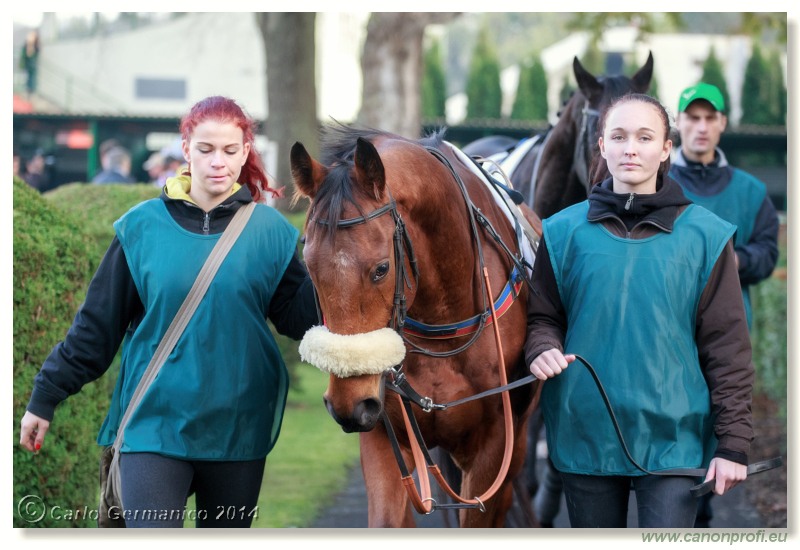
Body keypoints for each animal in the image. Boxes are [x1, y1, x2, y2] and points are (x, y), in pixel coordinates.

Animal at [290, 125, 540, 532]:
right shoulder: (381, 429)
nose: (346, 404)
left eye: (381, 268)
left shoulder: (496, 442)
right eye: (309, 266)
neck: (442, 325)